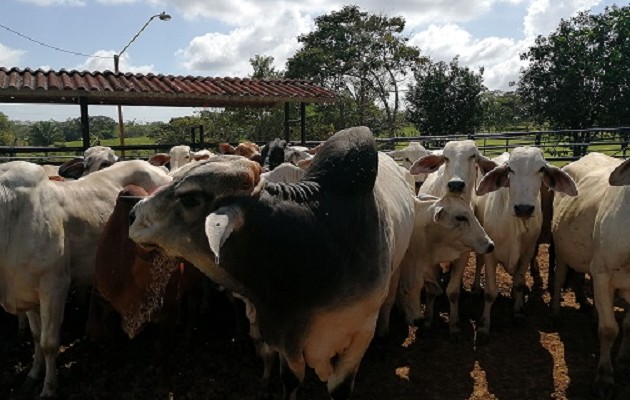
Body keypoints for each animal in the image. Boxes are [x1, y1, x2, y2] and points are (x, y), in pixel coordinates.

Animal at [0, 159, 173, 396]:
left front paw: (49, 387)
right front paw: (33, 374)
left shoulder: (54, 286)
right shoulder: (26, 291)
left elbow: (48, 343)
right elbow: (36, 337)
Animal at [128, 127, 414, 400]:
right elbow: (290, 380)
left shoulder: (359, 335)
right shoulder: (285, 337)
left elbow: (339, 388)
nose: (133, 214)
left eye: (190, 198)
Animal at [478, 147, 576, 344]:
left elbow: (518, 284)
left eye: (541, 169)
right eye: (510, 169)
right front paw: (484, 326)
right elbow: (490, 293)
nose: (523, 208)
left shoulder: (526, 253)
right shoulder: (489, 255)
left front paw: (518, 313)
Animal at [552, 152, 630, 396]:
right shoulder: (604, 274)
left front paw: (623, 361)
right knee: (559, 277)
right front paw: (604, 377)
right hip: (562, 250)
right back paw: (556, 314)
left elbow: (628, 325)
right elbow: (608, 329)